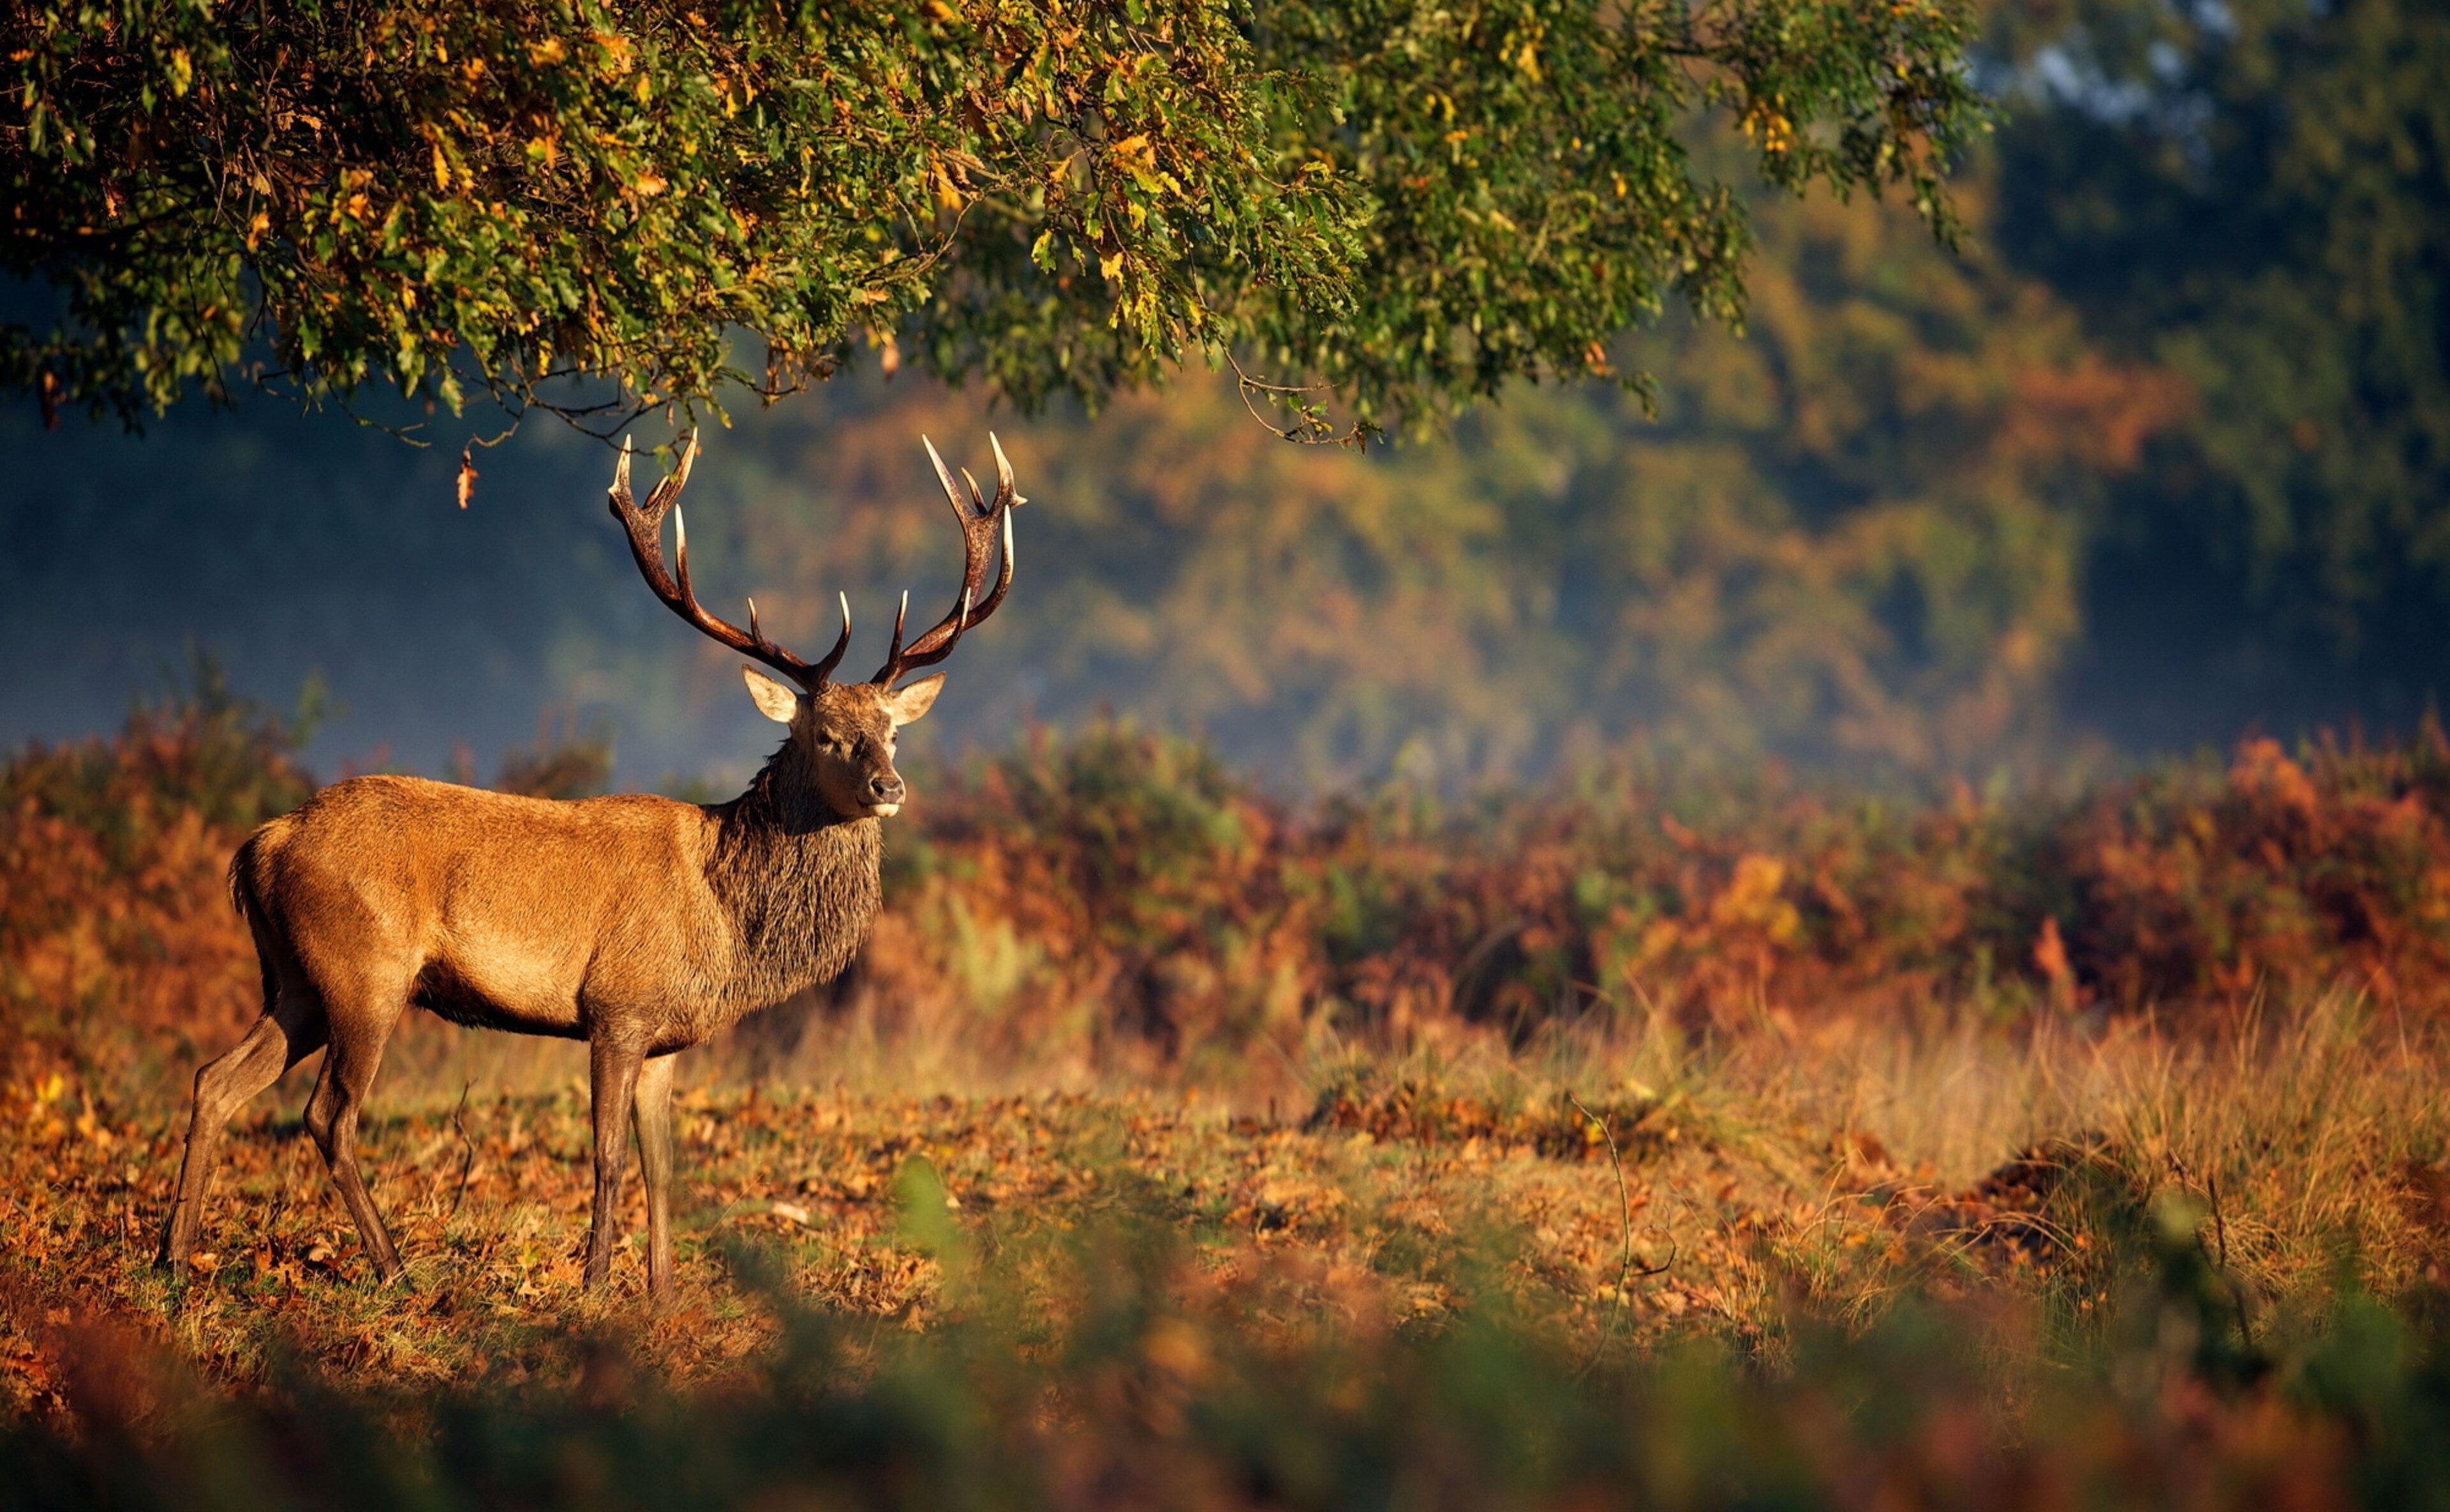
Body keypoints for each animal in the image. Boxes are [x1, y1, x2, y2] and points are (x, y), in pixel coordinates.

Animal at [156, 431, 1021, 1296]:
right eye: (825, 734)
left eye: (892, 732)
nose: (889, 786)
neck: (726, 921)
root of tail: (261, 844)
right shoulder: (616, 1008)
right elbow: (606, 1158)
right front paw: (597, 1285)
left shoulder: (667, 1038)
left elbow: (661, 1167)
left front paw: (664, 1294)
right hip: (364, 970)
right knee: (328, 1116)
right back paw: (396, 1269)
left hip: (297, 980)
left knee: (216, 1080)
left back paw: (173, 1260)